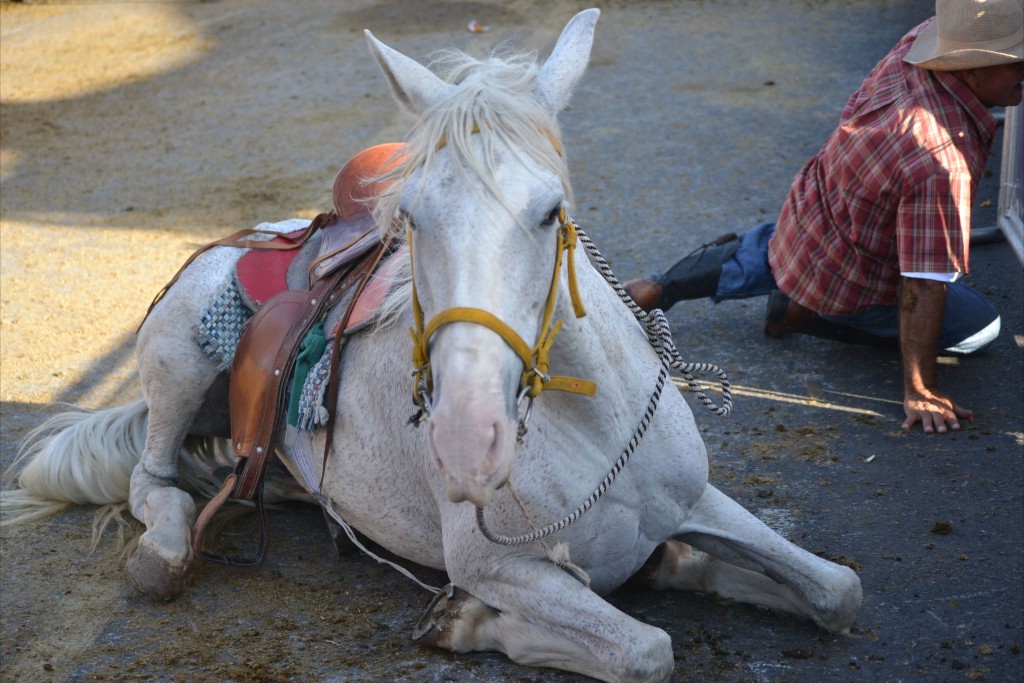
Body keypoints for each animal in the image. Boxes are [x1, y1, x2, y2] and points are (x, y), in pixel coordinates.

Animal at [4, 10, 860, 683]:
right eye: (410, 217)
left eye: (552, 211)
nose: (467, 441)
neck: (592, 427)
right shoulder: (498, 564)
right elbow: (645, 649)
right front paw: (470, 621)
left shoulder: (698, 500)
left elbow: (836, 589)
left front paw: (690, 564)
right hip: (180, 363)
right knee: (153, 481)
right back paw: (164, 550)